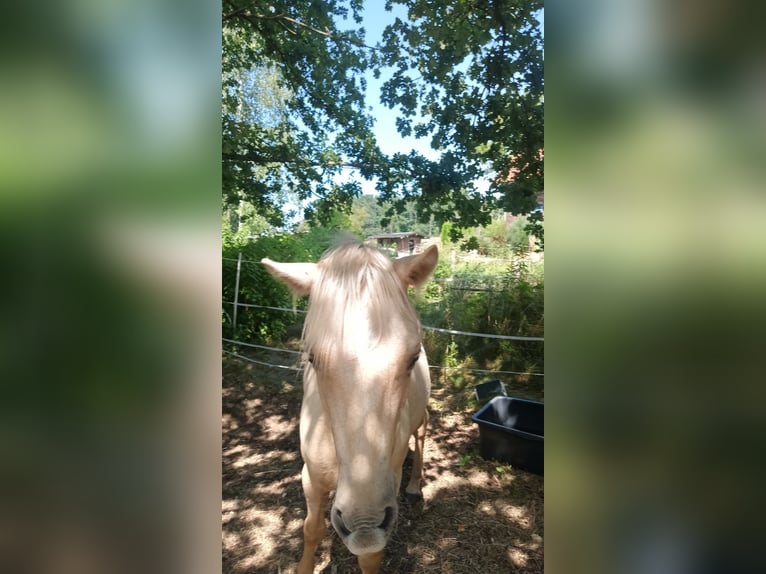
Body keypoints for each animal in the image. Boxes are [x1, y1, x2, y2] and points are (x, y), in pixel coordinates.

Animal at [261, 240, 438, 574]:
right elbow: (311, 529)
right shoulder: (311, 478)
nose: (364, 525)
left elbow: (370, 557)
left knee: (421, 429)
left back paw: (414, 484)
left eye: (412, 357)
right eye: (313, 358)